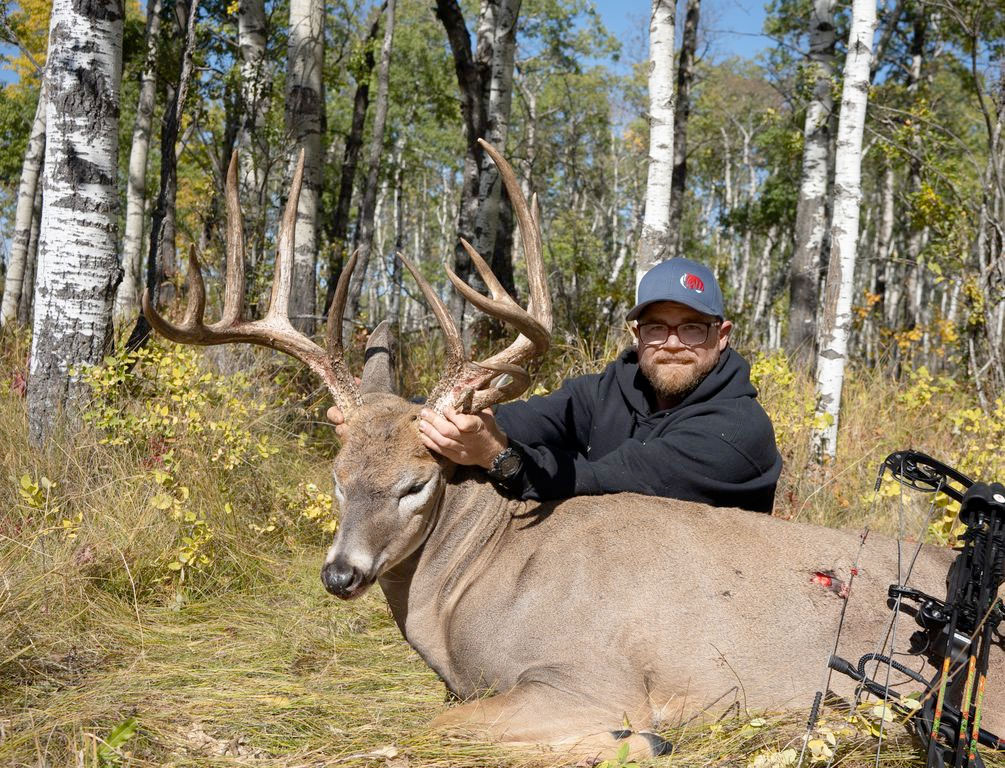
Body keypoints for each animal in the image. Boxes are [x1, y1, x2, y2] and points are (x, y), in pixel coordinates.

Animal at [143, 140, 1005, 759]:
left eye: (416, 485)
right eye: (336, 476)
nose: (339, 574)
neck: (472, 585)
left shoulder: (590, 675)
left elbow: (431, 731)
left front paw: (638, 740)